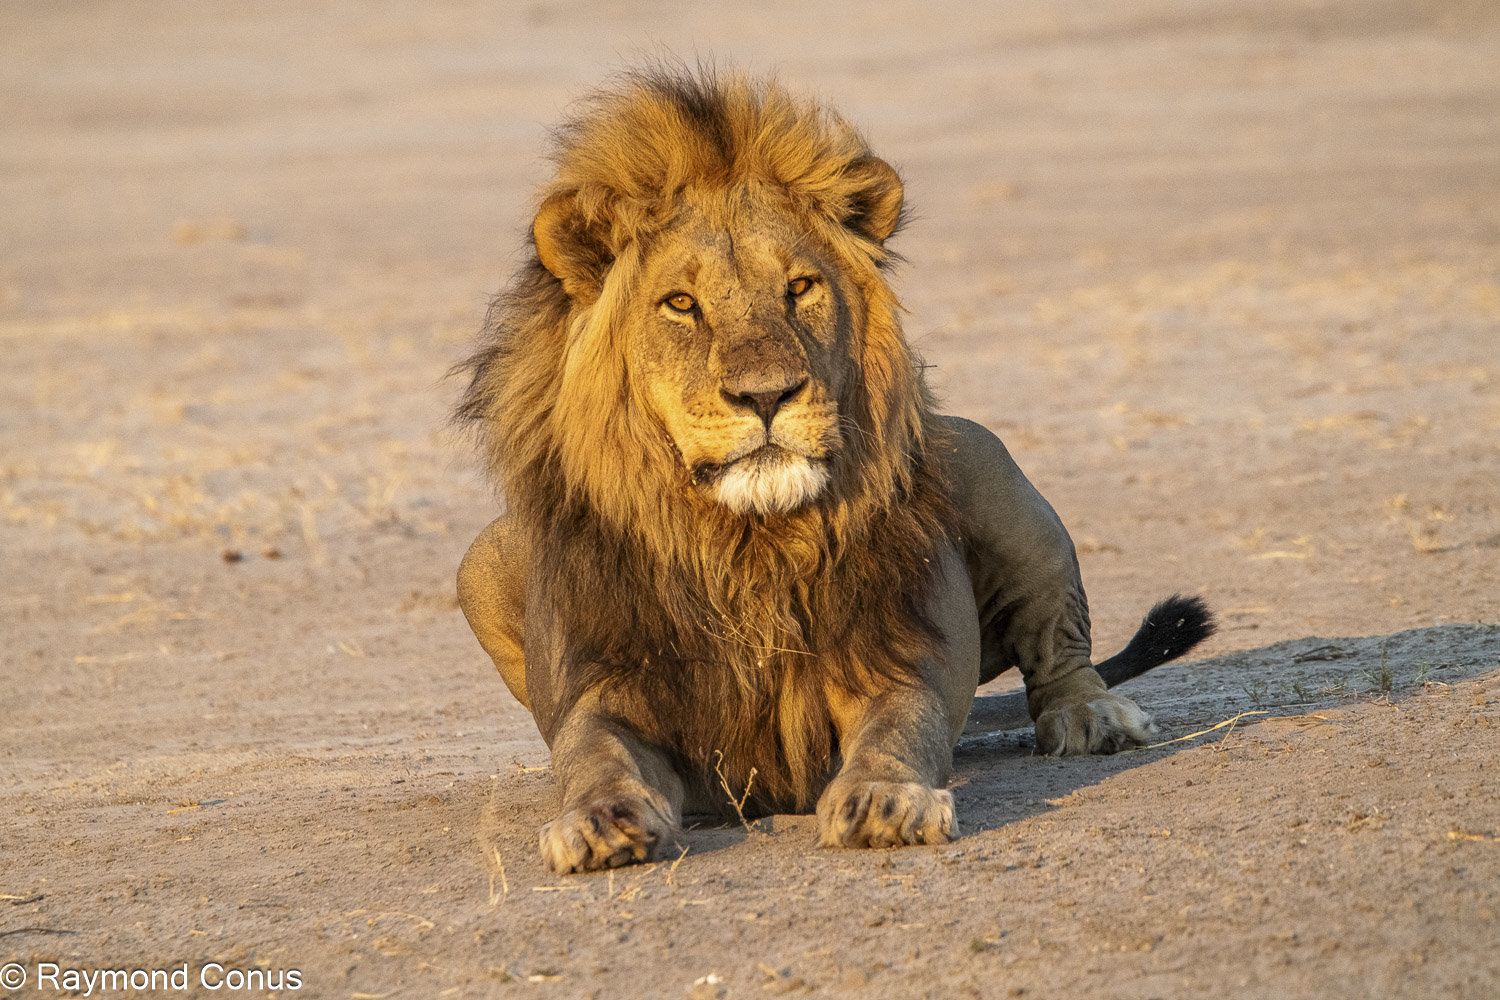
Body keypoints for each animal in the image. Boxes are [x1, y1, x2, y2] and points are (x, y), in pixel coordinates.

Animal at [454, 67, 1215, 873]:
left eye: (800, 288)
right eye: (681, 304)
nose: (767, 395)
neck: (746, 545)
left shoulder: (891, 658)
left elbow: (898, 730)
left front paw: (887, 801)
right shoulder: (604, 689)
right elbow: (593, 755)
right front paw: (597, 820)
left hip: (987, 464)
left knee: (1060, 653)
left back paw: (1093, 716)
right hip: (480, 561)